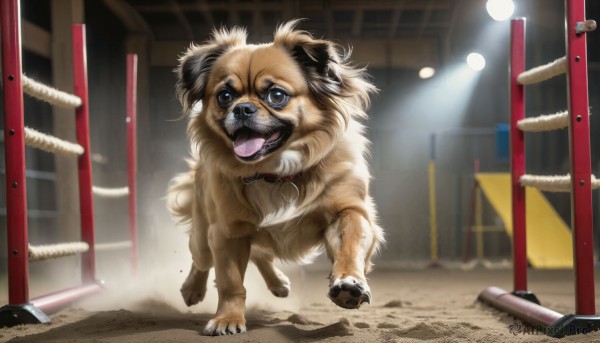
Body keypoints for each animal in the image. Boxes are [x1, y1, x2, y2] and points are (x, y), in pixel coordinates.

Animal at [166, 20, 384, 336]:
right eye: (224, 97)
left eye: (277, 96)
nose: (242, 108)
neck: (274, 174)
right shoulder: (227, 233)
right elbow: (231, 284)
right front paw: (227, 319)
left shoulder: (348, 211)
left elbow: (349, 247)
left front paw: (349, 283)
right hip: (204, 232)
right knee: (203, 259)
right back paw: (192, 289)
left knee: (260, 254)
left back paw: (278, 283)